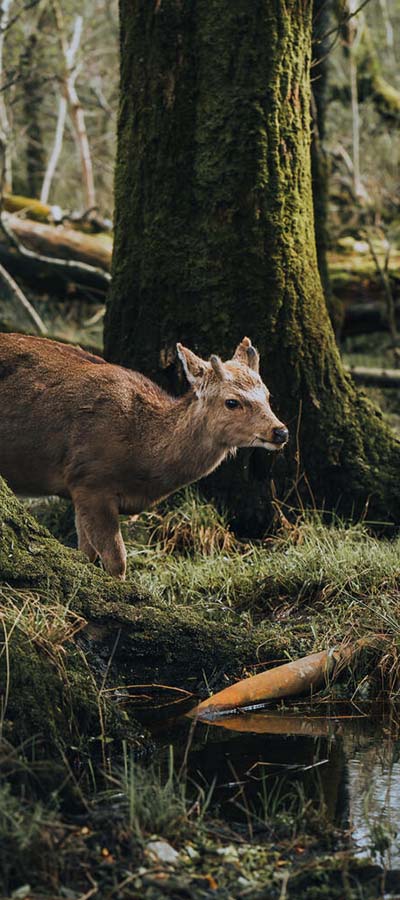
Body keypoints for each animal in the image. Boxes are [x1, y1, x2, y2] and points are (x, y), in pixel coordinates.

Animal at [0, 333, 288, 579]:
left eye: (268, 395)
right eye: (231, 402)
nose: (280, 431)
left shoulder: (79, 489)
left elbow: (85, 555)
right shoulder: (89, 479)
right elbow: (116, 560)